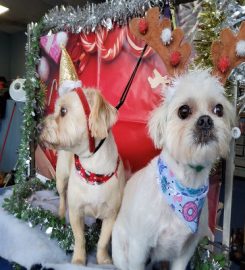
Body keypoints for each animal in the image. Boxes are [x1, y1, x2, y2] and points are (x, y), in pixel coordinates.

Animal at [40, 87, 125, 264]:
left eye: (63, 111)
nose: (38, 126)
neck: (94, 172)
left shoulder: (111, 215)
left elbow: (103, 241)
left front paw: (103, 259)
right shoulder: (75, 212)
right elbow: (80, 239)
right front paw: (79, 259)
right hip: (61, 179)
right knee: (62, 197)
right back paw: (60, 214)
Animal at [112, 70, 234, 270]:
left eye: (219, 109)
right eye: (183, 111)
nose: (206, 120)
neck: (185, 186)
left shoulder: (186, 251)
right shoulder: (139, 246)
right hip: (121, 250)